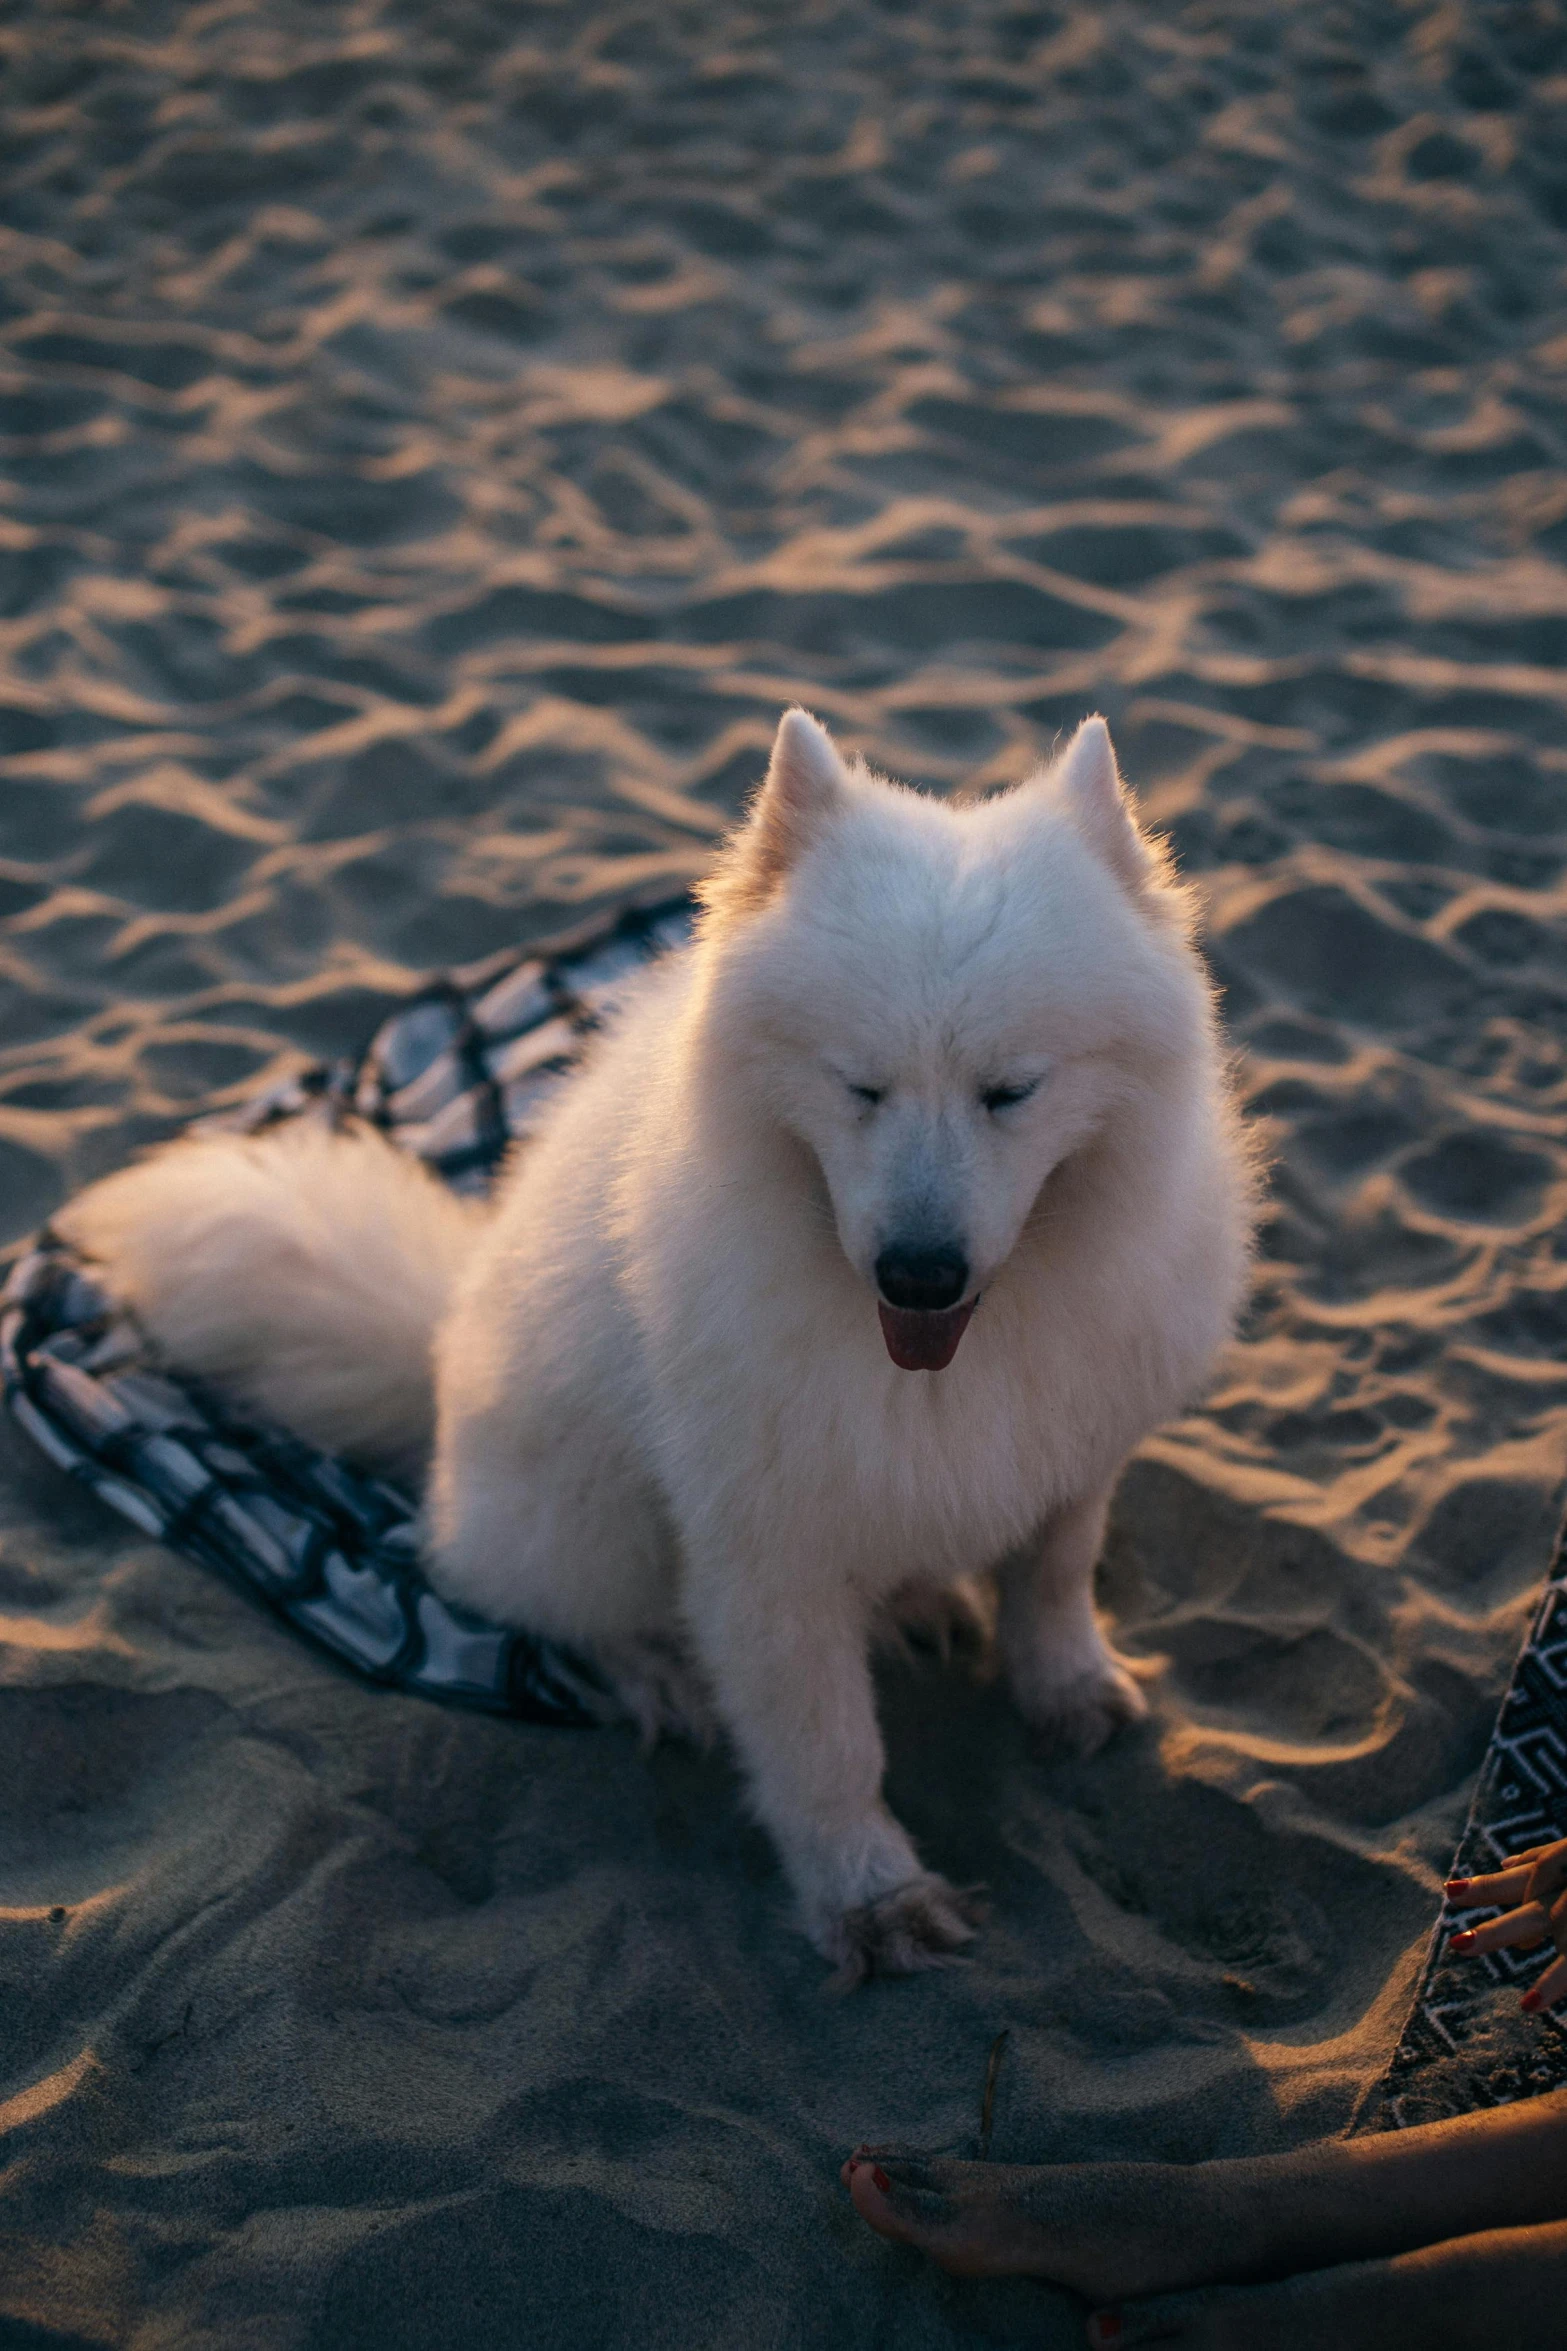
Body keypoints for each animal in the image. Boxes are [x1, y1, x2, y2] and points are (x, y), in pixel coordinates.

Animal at [64, 710, 1259, 1984]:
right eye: (859, 1087)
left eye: (1011, 1092)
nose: (918, 1273)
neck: (950, 1351)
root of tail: (439, 1347)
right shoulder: (764, 1551)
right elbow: (823, 1745)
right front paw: (870, 1894)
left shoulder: (1073, 1453)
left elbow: (1053, 1577)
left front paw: (1066, 1686)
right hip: (590, 1514)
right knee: (549, 1606)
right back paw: (662, 1666)